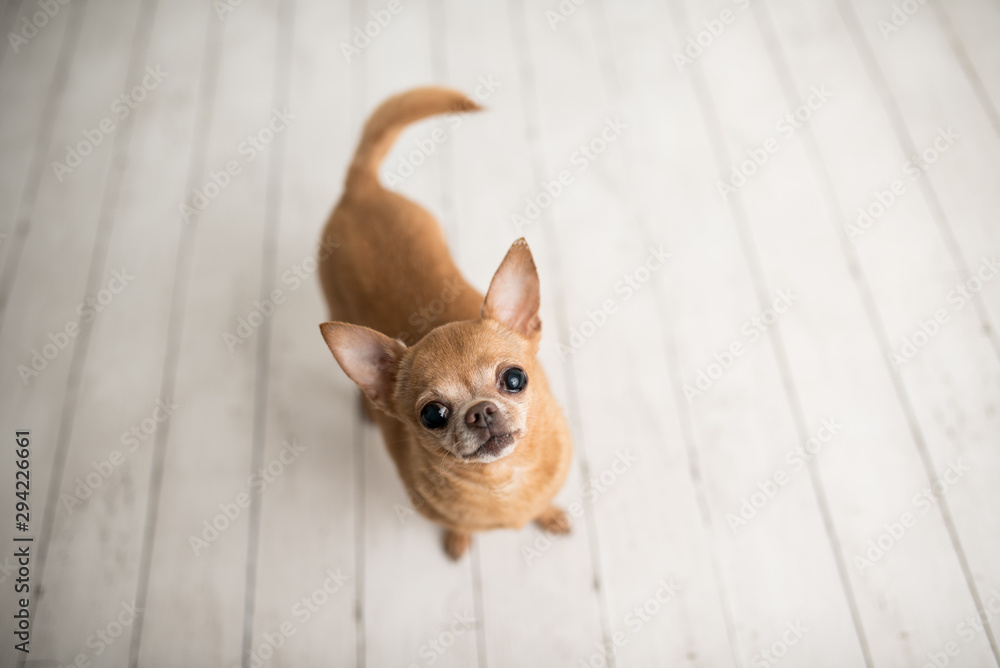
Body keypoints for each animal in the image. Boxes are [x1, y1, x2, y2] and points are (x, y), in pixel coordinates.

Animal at [316, 87, 576, 560]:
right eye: (433, 414)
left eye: (515, 379)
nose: (481, 411)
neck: (503, 481)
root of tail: (360, 188)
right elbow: (460, 526)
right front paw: (459, 540)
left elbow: (544, 505)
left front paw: (549, 516)